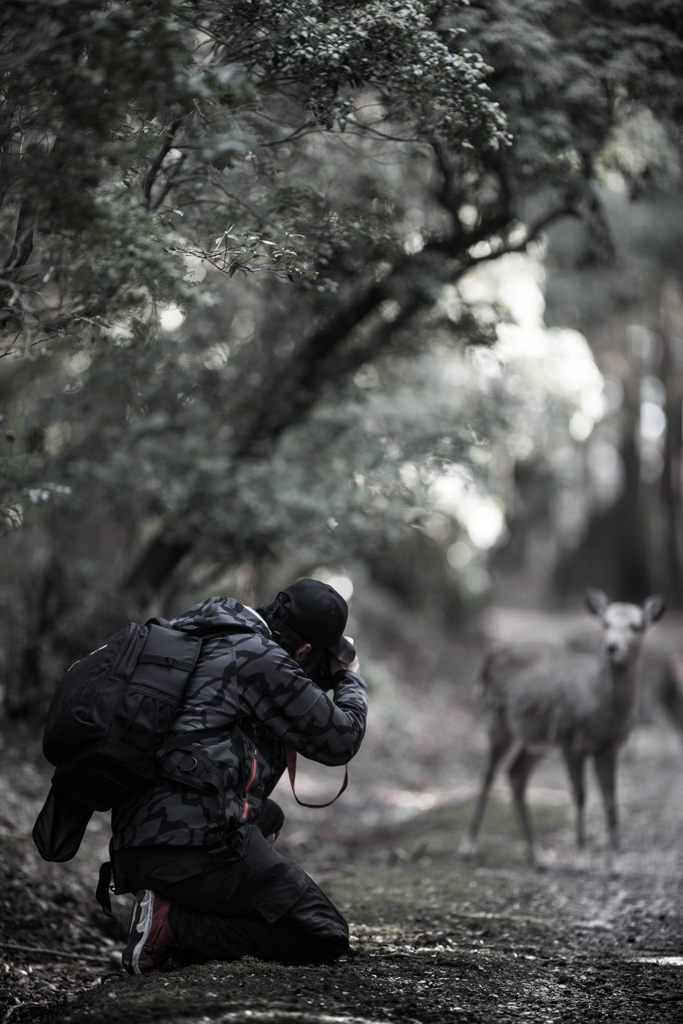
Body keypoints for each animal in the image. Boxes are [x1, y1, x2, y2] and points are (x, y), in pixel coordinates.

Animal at [458, 593, 667, 872]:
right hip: (498, 719)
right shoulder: (572, 740)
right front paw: (580, 861)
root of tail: (491, 654)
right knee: (487, 776)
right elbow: (580, 796)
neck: (602, 709)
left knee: (516, 774)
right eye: (605, 623)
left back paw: (538, 857)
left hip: (538, 740)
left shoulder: (611, 748)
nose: (612, 646)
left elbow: (612, 800)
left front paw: (614, 866)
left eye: (636, 626)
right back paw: (466, 848)